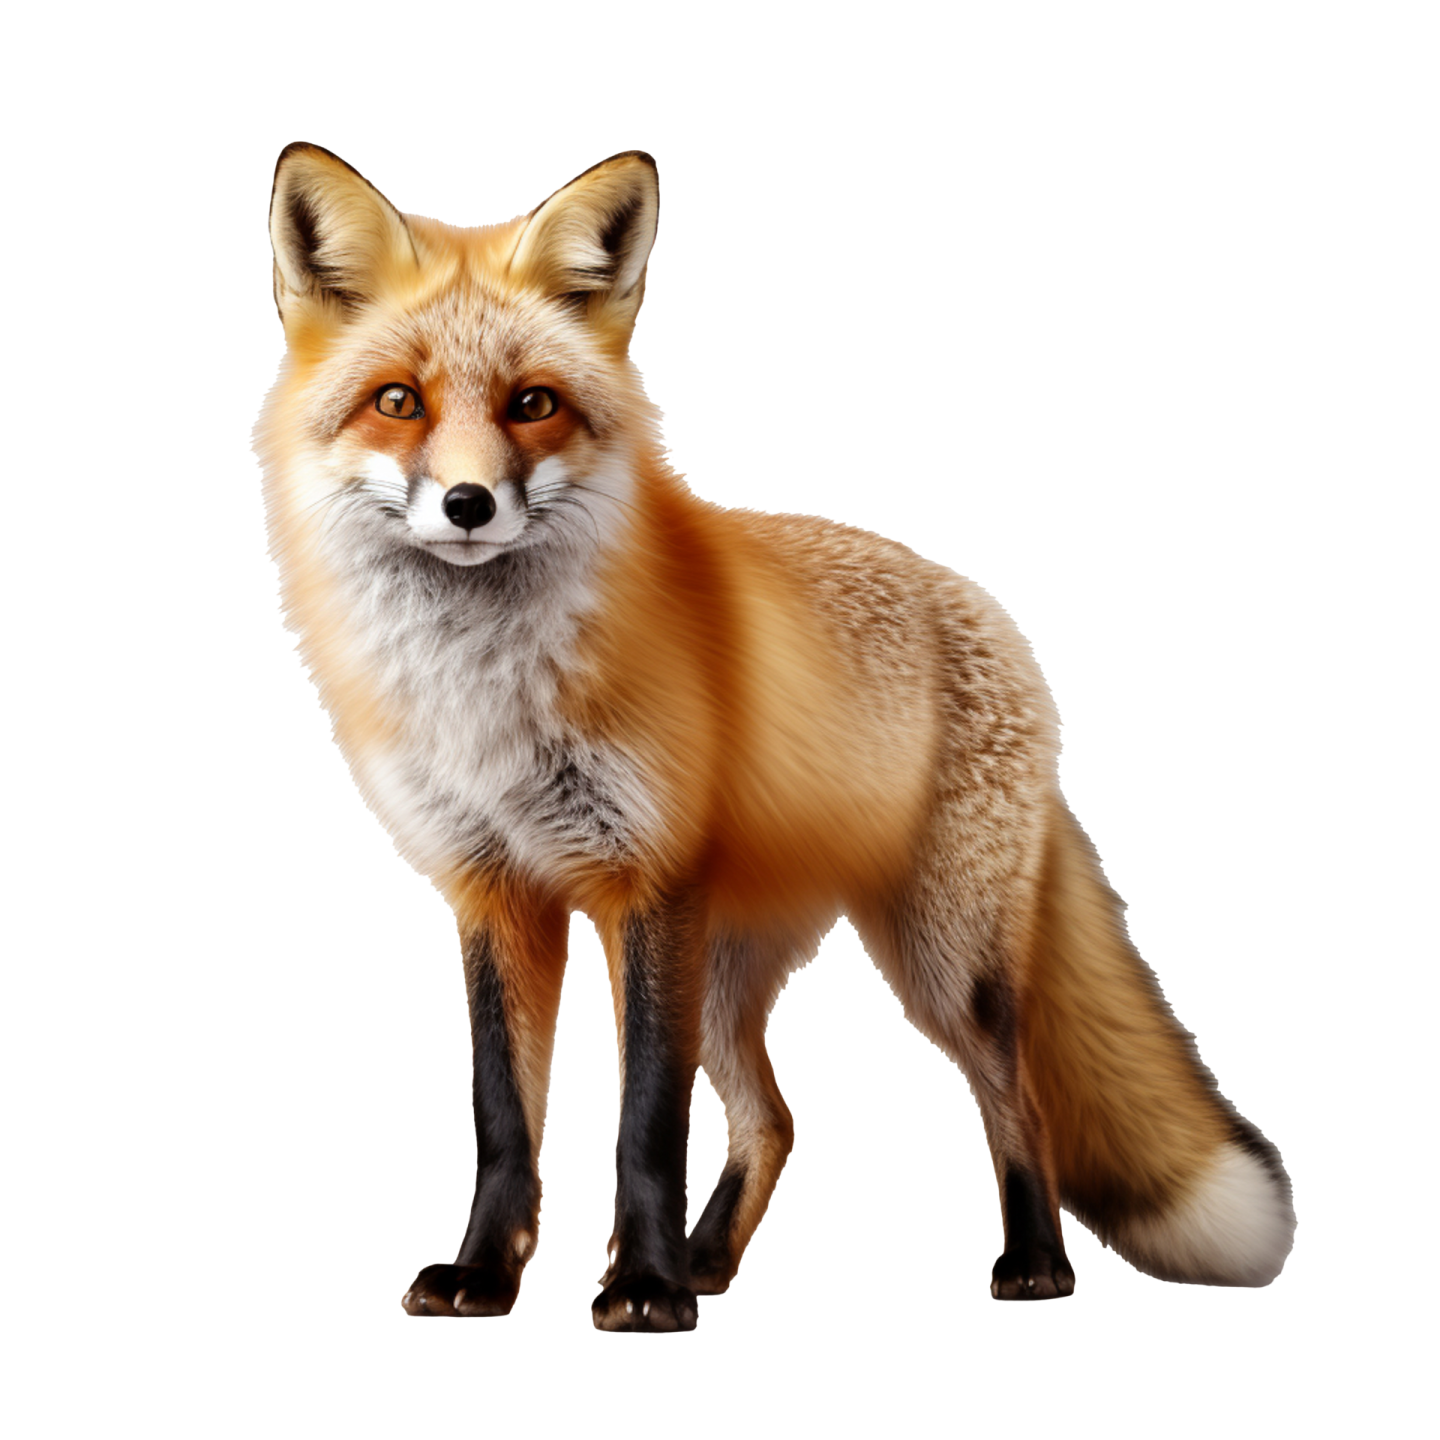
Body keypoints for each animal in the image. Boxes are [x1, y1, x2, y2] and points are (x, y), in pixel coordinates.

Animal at [252, 142, 1296, 1329]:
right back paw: (710, 1259)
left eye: (533, 404)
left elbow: (647, 1123)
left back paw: (1030, 1263)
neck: (488, 697)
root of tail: (993, 618)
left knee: (1011, 1092)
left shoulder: (648, 885)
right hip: (729, 970)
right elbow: (505, 1118)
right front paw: (488, 1276)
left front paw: (646, 1289)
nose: (468, 503)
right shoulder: (495, 892)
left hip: (937, 958)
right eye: (398, 402)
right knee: (777, 1115)